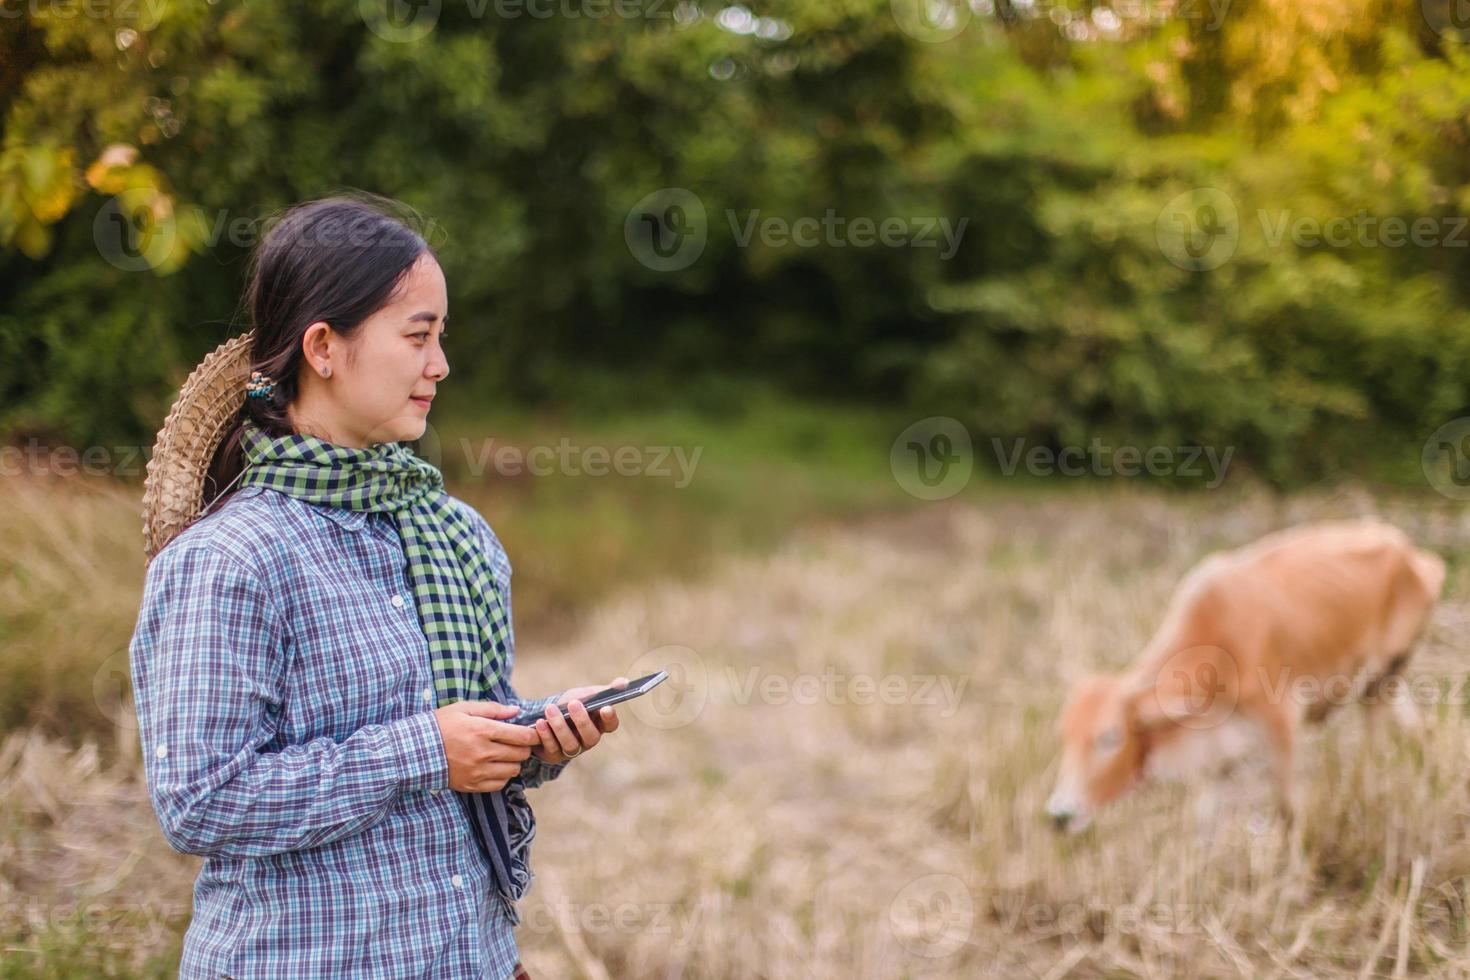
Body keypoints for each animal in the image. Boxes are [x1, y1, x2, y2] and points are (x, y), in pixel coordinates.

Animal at [1046, 517, 1446, 834]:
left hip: (1383, 678)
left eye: (1109, 737)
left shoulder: (1282, 723)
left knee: (1372, 748)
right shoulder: (1216, 753)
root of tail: (1410, 552)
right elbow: (1204, 821)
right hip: (1387, 683)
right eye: (1064, 735)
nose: (1059, 815)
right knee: (1422, 729)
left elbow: (1287, 812)